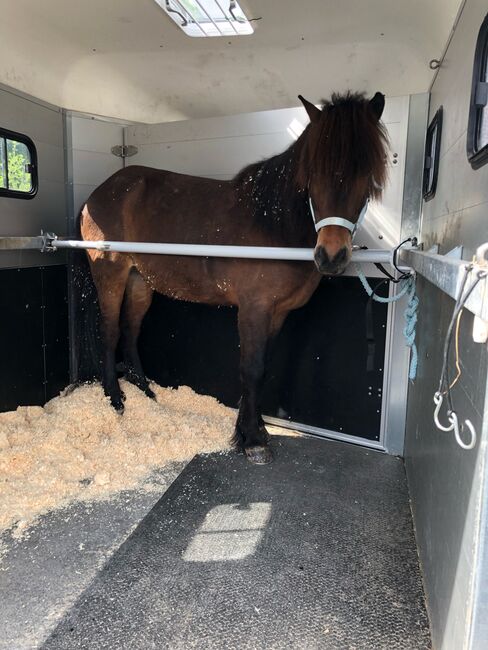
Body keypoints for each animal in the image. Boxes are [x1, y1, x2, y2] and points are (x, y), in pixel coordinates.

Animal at [80, 91, 386, 460]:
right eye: (313, 173)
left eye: (367, 175)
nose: (331, 256)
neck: (273, 223)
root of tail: (101, 191)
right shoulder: (254, 307)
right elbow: (251, 368)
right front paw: (252, 441)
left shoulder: (277, 312)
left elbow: (263, 366)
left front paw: (254, 430)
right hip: (110, 272)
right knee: (110, 330)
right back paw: (115, 399)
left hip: (140, 279)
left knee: (130, 330)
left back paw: (147, 392)